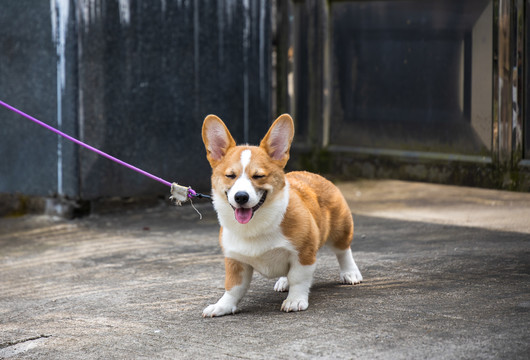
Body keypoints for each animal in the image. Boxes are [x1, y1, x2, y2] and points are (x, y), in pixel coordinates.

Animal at [200, 114, 360, 316]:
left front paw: (295, 300)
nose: (241, 197)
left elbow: (298, 278)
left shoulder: (303, 253)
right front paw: (222, 306)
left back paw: (350, 273)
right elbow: (233, 287)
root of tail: (314, 174)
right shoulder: (235, 260)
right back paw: (284, 282)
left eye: (258, 176)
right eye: (230, 175)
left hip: (340, 229)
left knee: (343, 250)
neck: (255, 226)